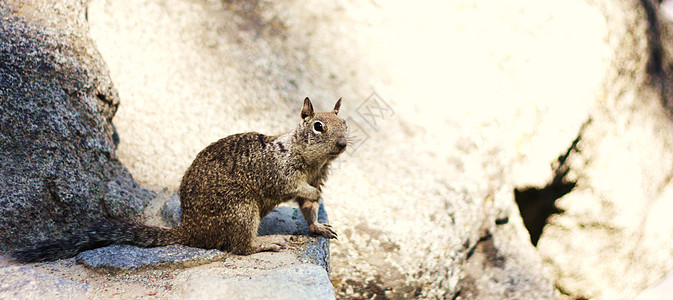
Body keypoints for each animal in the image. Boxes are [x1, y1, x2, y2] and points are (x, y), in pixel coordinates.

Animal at [13, 97, 350, 262]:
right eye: (318, 126)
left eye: (345, 122)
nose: (343, 143)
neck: (311, 161)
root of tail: (190, 231)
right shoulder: (277, 172)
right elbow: (293, 187)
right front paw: (313, 197)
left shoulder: (317, 177)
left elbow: (308, 208)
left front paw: (318, 226)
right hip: (241, 208)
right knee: (239, 247)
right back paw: (267, 241)